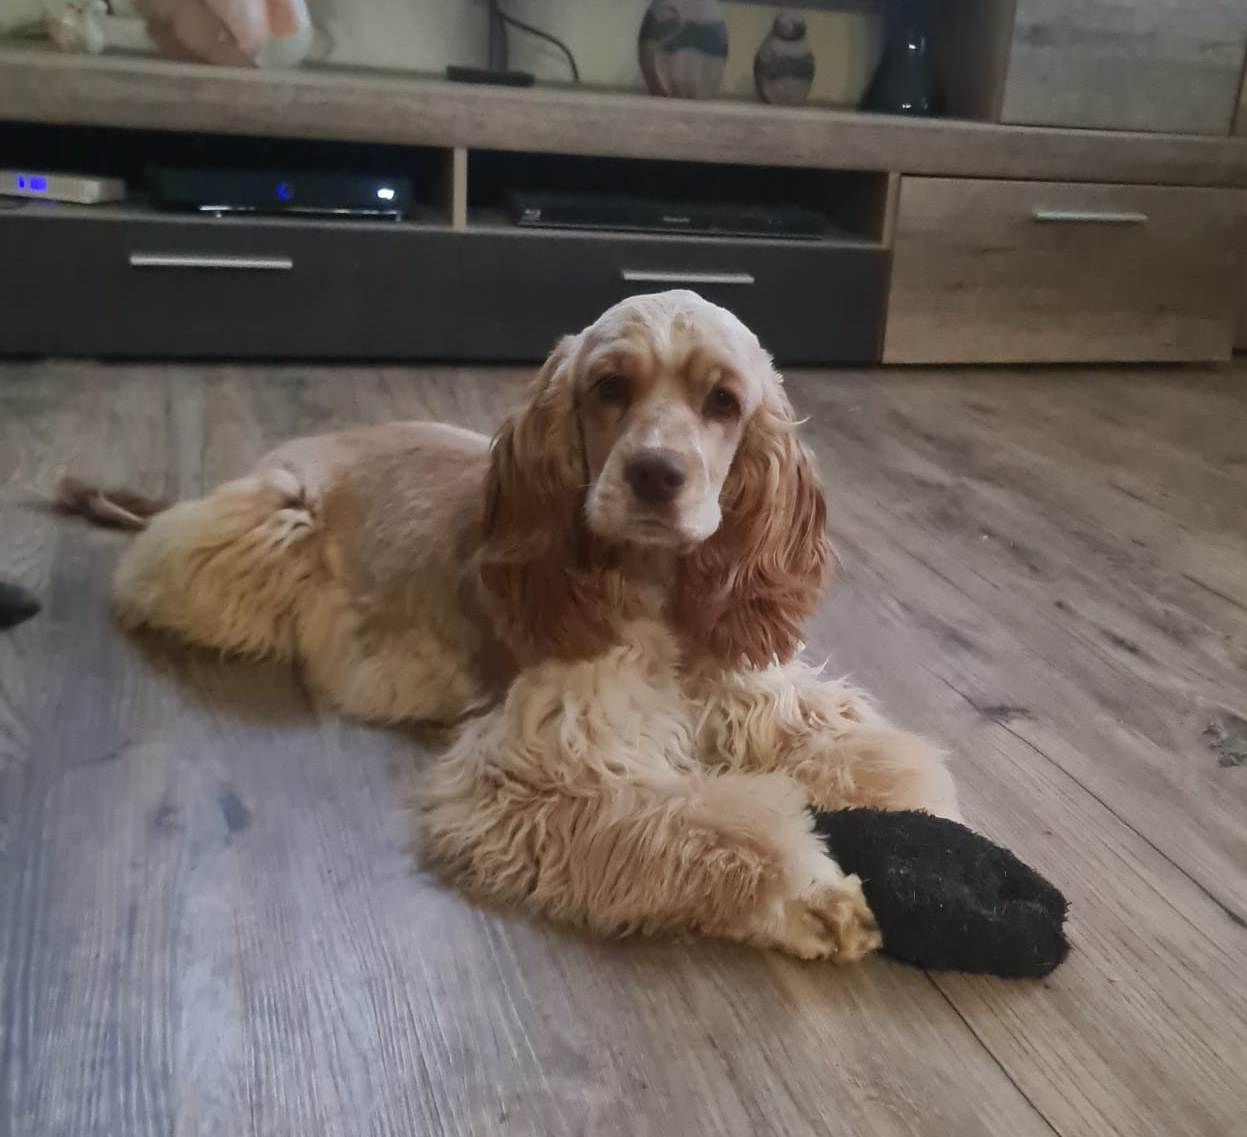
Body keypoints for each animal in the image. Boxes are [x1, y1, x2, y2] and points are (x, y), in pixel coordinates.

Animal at [61, 290, 957, 961]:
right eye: (609, 386)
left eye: (723, 402)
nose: (654, 474)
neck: (661, 597)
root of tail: (267, 463)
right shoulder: (541, 771)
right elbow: (709, 823)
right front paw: (809, 892)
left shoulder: (749, 686)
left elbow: (851, 745)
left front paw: (914, 806)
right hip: (259, 534)